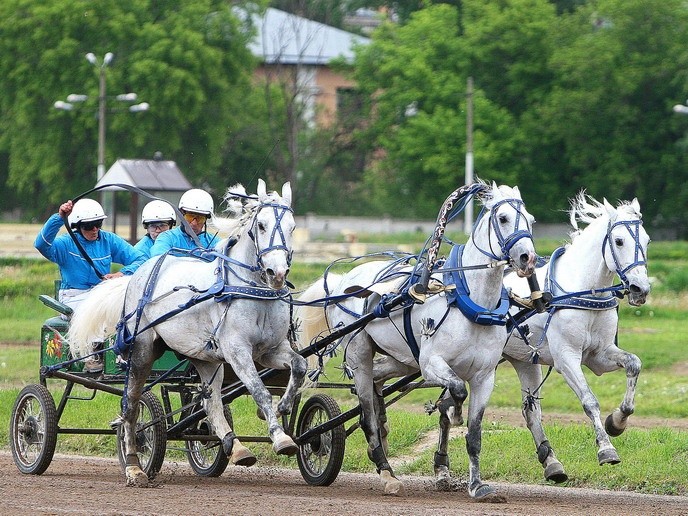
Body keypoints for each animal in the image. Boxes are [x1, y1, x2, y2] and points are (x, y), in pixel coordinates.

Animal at [68, 179, 306, 486]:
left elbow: (299, 366)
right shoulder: (237, 351)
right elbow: (260, 391)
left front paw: (283, 407)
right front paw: (281, 438)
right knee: (130, 406)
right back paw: (134, 467)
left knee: (211, 401)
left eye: (292, 226)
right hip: (142, 350)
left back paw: (235, 446)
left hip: (205, 357)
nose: (276, 273)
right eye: (262, 225)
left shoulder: (269, 351)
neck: (250, 290)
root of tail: (137, 275)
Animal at [298, 182, 540, 500]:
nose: (528, 259)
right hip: (360, 355)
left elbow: (474, 434)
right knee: (366, 415)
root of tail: (342, 281)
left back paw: (383, 425)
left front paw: (477, 486)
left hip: (400, 359)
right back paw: (385, 471)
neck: (471, 303)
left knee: (377, 383)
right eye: (502, 218)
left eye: (531, 220)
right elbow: (457, 389)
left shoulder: (484, 377)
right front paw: (452, 410)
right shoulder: (430, 363)